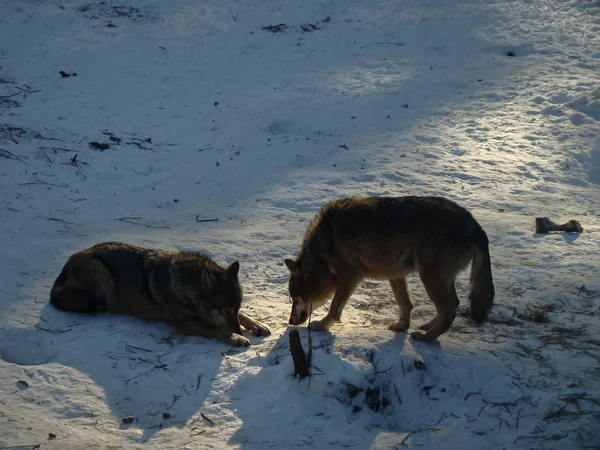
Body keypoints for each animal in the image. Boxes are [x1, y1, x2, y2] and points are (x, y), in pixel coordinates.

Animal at [51, 243, 272, 344]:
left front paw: (257, 325)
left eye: (234, 309)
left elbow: (244, 316)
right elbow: (217, 329)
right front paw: (235, 337)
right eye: (225, 311)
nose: (240, 332)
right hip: (101, 274)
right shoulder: (186, 324)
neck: (187, 287)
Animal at [284, 196, 492, 342]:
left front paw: (322, 326)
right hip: (437, 280)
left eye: (295, 298)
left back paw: (426, 338)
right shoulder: (395, 274)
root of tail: (476, 226)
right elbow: (405, 304)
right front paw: (402, 326)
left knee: (449, 308)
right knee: (450, 307)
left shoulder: (350, 276)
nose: (290, 322)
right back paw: (426, 327)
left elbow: (335, 308)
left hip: (430, 278)